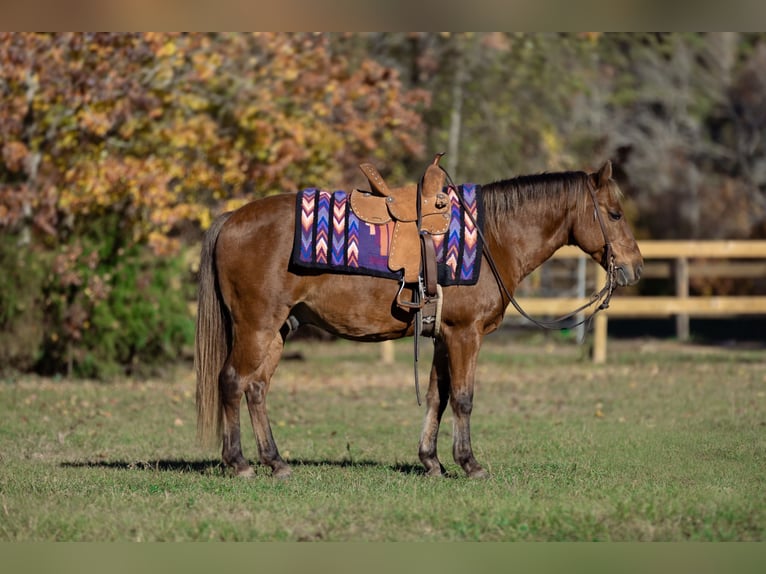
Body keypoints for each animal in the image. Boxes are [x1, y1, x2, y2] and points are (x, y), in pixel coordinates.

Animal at [195, 160, 644, 480]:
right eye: (615, 214)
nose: (635, 268)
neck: (491, 238)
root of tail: (231, 218)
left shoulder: (443, 336)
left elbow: (437, 396)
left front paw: (431, 461)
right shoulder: (465, 335)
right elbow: (462, 398)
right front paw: (469, 463)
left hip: (277, 332)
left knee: (256, 389)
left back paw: (275, 462)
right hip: (256, 327)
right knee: (232, 382)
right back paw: (239, 463)